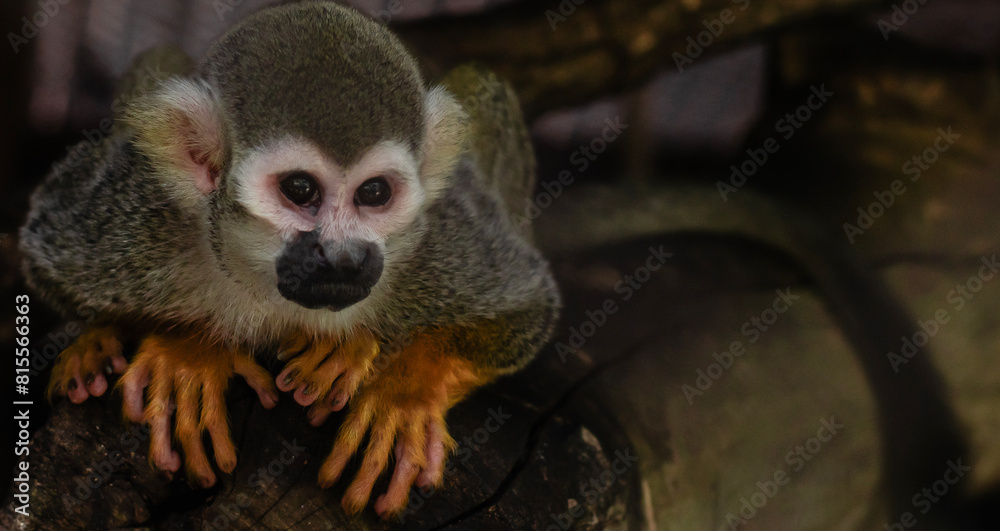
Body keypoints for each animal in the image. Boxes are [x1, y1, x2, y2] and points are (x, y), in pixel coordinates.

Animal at [18, 1, 559, 518]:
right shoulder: (129, 218)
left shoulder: (435, 238)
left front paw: (407, 390)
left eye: (375, 193)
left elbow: (530, 306)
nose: (344, 257)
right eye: (300, 189)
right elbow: (40, 251)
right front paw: (188, 350)